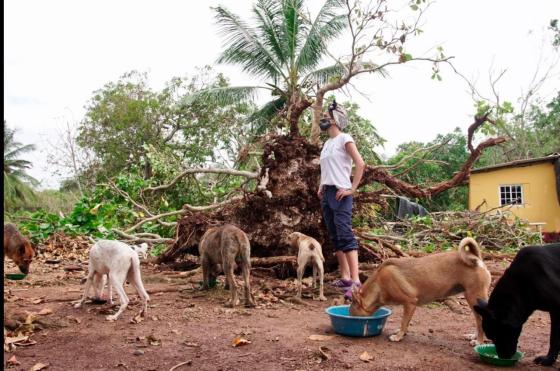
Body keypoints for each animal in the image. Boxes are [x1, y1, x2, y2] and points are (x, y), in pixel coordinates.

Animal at [350, 238, 490, 346]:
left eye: (353, 315)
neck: (379, 284)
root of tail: (475, 258)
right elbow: (405, 323)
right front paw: (401, 333)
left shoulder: (410, 303)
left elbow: (404, 322)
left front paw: (399, 336)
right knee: (478, 320)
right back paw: (474, 336)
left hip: (473, 298)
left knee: (480, 320)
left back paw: (479, 341)